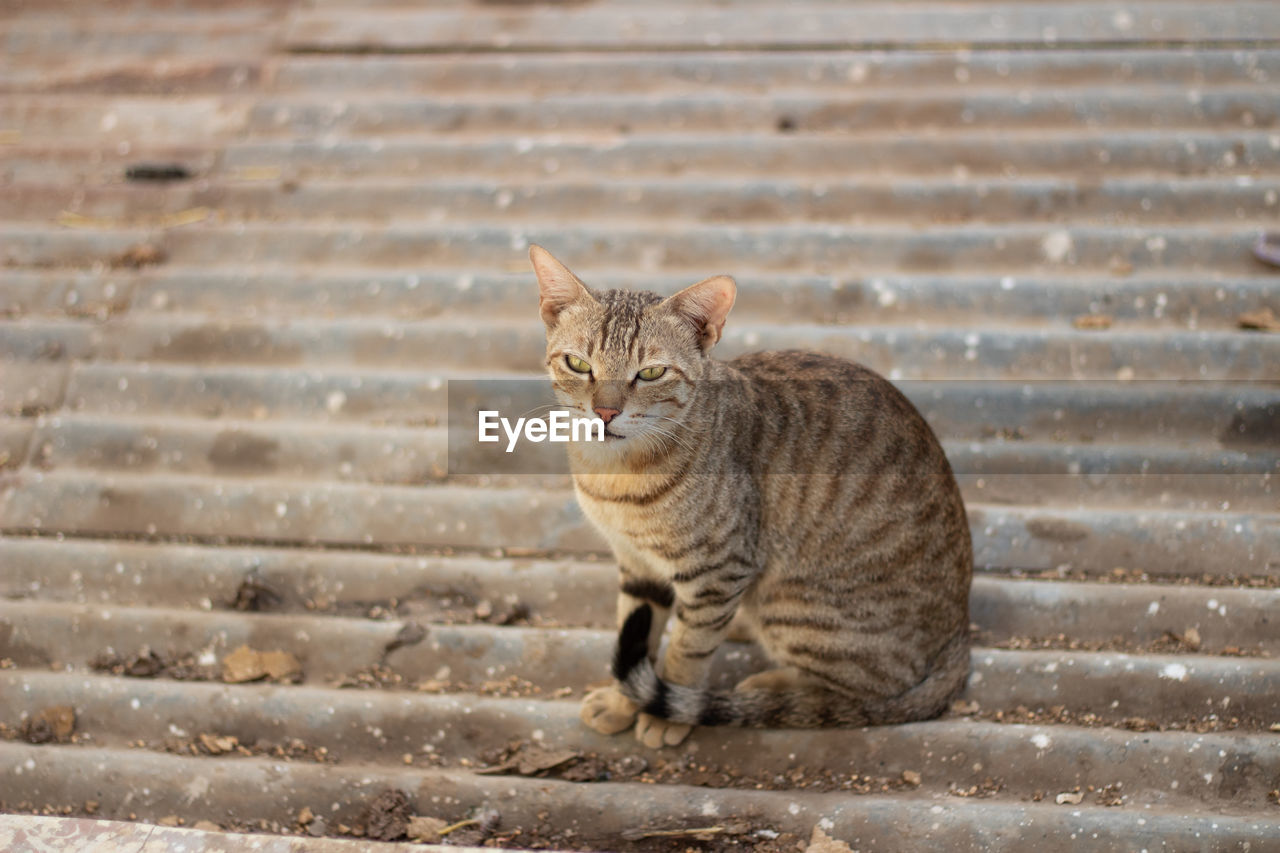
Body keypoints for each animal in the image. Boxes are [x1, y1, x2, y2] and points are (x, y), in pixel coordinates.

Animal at [529, 240, 967, 742]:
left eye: (652, 372)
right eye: (579, 364)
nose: (604, 412)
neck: (615, 477)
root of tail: (961, 638)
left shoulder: (720, 569)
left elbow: (686, 651)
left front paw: (664, 714)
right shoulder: (637, 564)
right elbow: (636, 629)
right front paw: (624, 702)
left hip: (796, 604)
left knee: (867, 687)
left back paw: (767, 686)